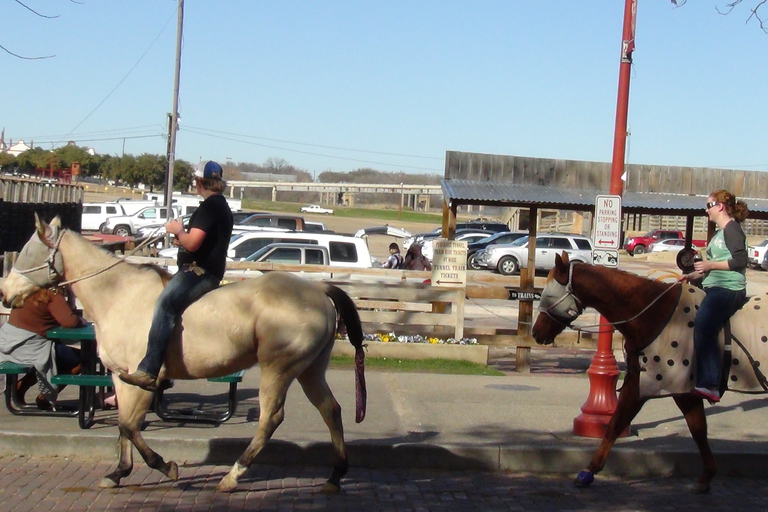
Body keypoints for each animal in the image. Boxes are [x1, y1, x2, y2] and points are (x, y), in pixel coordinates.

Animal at [0, 214, 368, 494]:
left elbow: (131, 427)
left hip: (278, 368)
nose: (5, 294)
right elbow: (123, 427)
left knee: (271, 419)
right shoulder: (120, 377)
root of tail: (317, 290)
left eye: (29, 253)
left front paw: (166, 467)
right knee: (330, 410)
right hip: (309, 370)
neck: (118, 295)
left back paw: (232, 477)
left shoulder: (141, 380)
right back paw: (335, 476)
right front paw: (118, 473)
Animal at [532, 251, 768, 492]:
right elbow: (619, 423)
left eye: (548, 294)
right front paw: (588, 471)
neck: (655, 313)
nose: (535, 332)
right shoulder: (643, 382)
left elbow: (693, 428)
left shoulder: (676, 385)